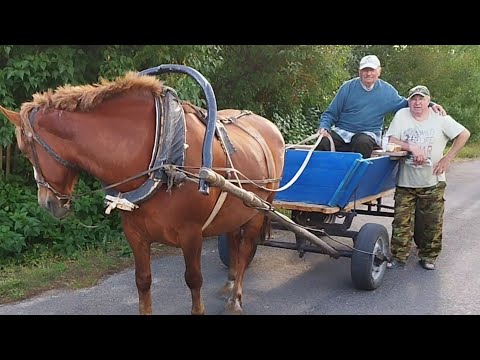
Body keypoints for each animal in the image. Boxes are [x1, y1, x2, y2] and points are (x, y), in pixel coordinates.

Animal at [0, 71, 284, 314]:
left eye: (25, 150)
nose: (47, 203)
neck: (164, 154)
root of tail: (270, 127)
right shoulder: (134, 232)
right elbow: (143, 281)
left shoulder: (191, 234)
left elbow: (193, 280)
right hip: (236, 209)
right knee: (234, 241)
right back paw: (230, 281)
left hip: (258, 209)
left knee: (245, 248)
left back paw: (235, 298)